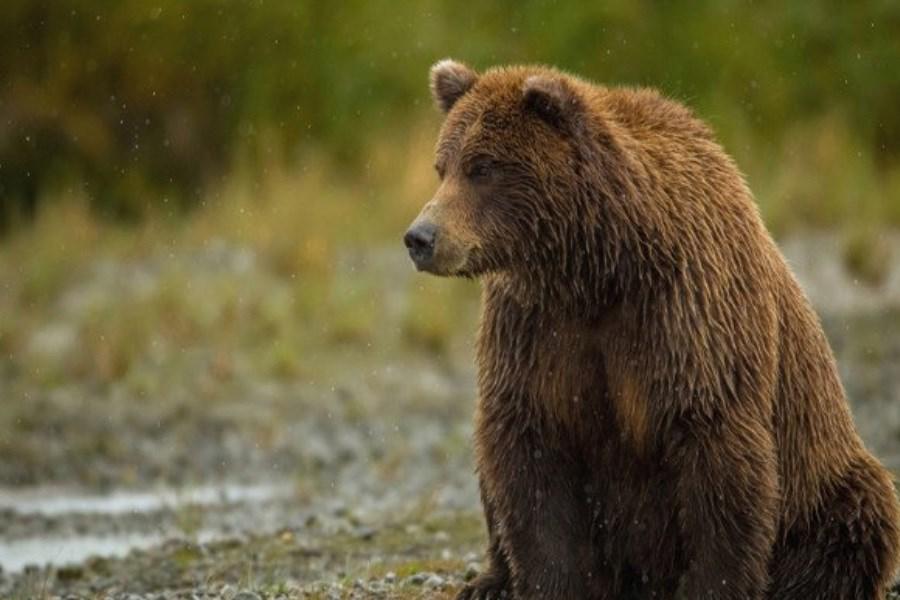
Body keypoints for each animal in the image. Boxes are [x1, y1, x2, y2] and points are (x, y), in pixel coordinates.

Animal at [404, 62, 900, 600]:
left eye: (482, 167)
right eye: (442, 166)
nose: (420, 237)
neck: (597, 268)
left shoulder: (688, 316)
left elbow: (717, 462)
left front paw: (712, 585)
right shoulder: (535, 328)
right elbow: (530, 456)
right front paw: (547, 582)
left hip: (823, 480)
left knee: (854, 517)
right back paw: (489, 581)